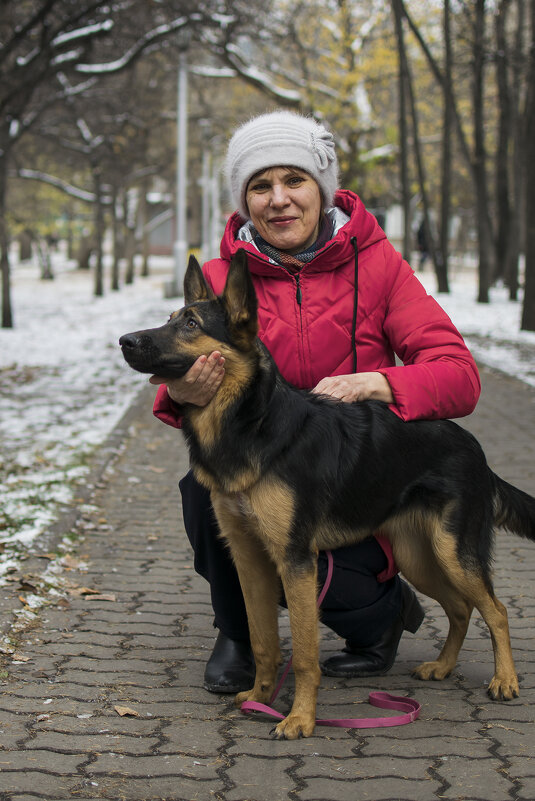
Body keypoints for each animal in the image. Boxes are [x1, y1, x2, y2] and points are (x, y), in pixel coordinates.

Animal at [120, 250, 535, 736]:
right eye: (171, 319)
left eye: (190, 323)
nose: (125, 341)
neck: (250, 423)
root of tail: (475, 448)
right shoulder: (250, 558)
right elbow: (263, 641)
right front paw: (260, 697)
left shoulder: (297, 561)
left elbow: (303, 654)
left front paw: (300, 718)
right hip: (419, 556)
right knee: (459, 608)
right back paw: (443, 666)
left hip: (453, 553)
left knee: (496, 609)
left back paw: (505, 680)